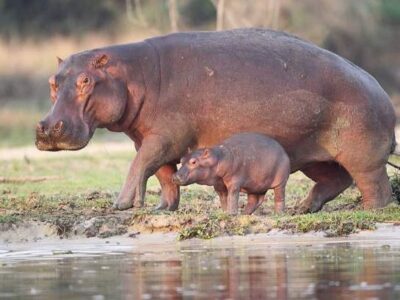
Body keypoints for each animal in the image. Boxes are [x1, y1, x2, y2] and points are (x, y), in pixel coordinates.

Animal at [35, 27, 396, 211]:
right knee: (335, 179)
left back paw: (370, 210)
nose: (48, 128)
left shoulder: (164, 137)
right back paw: (304, 208)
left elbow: (140, 165)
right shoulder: (149, 138)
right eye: (53, 82)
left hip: (363, 156)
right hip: (312, 153)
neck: (131, 74)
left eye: (85, 81)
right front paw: (162, 209)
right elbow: (163, 174)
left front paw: (121, 205)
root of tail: (381, 89)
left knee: (374, 186)